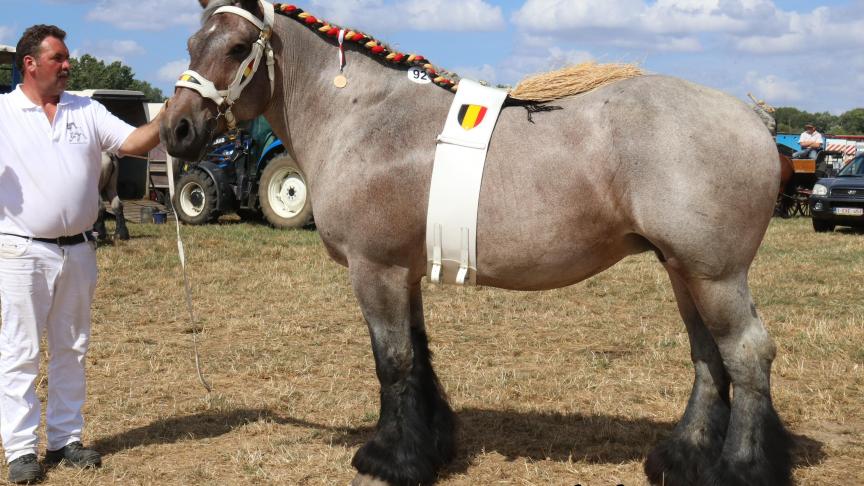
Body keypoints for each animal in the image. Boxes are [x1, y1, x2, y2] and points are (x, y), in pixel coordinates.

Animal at [159, 1, 792, 484]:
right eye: (190, 42)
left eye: (238, 47)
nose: (176, 130)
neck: (361, 118)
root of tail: (754, 118)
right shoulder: (404, 272)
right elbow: (419, 354)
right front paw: (431, 446)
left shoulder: (374, 270)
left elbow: (393, 361)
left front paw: (389, 458)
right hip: (683, 271)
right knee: (709, 358)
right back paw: (681, 458)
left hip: (714, 275)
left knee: (746, 354)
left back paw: (739, 468)